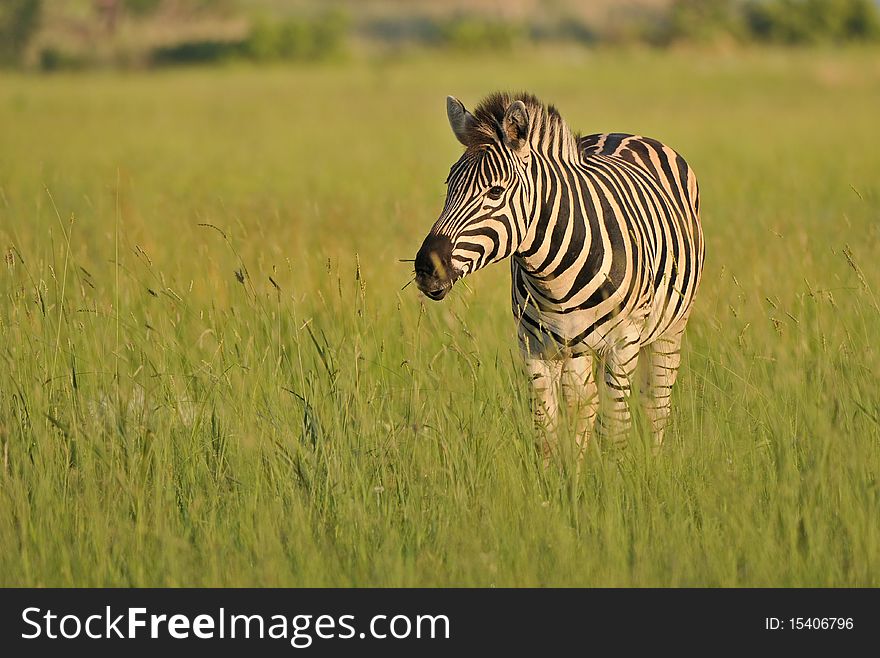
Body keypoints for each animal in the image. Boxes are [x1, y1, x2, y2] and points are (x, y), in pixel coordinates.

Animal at [410, 92, 700, 458]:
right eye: (449, 186)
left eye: (495, 192)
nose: (426, 267)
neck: (553, 277)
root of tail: (626, 134)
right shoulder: (533, 346)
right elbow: (546, 432)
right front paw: (561, 473)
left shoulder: (623, 344)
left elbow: (615, 429)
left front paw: (616, 474)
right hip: (576, 349)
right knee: (585, 404)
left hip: (669, 329)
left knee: (655, 405)